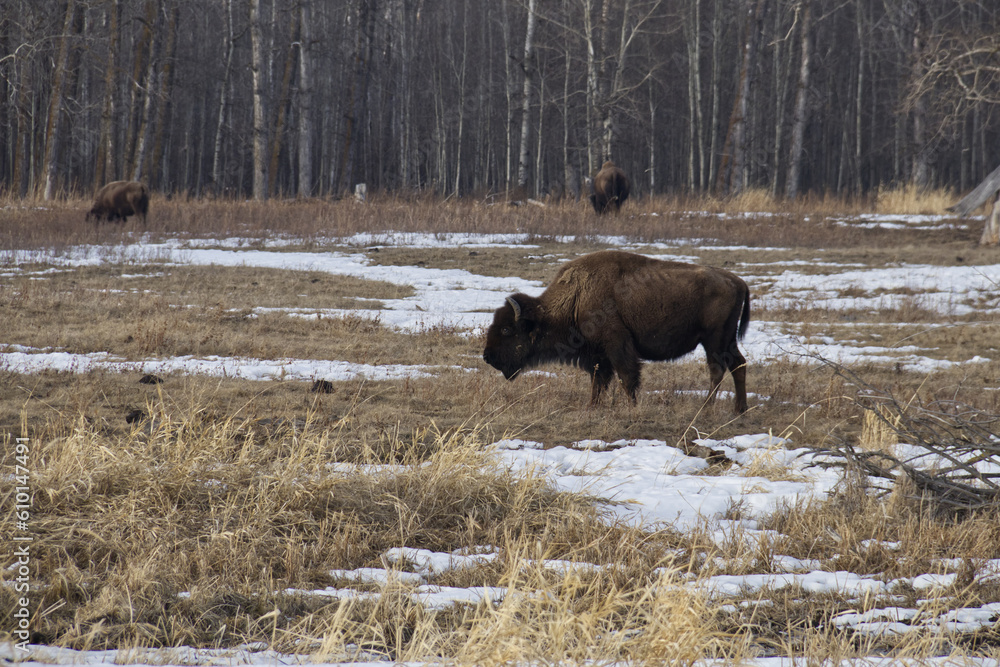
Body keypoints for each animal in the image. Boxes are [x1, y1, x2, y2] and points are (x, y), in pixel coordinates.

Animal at [482, 250, 750, 413]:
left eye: (506, 329)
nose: (486, 356)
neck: (577, 297)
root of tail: (738, 281)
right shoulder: (597, 354)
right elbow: (598, 380)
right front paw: (592, 407)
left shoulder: (616, 344)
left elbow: (626, 376)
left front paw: (632, 407)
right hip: (727, 340)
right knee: (738, 364)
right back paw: (739, 409)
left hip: (714, 341)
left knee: (717, 369)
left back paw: (706, 408)